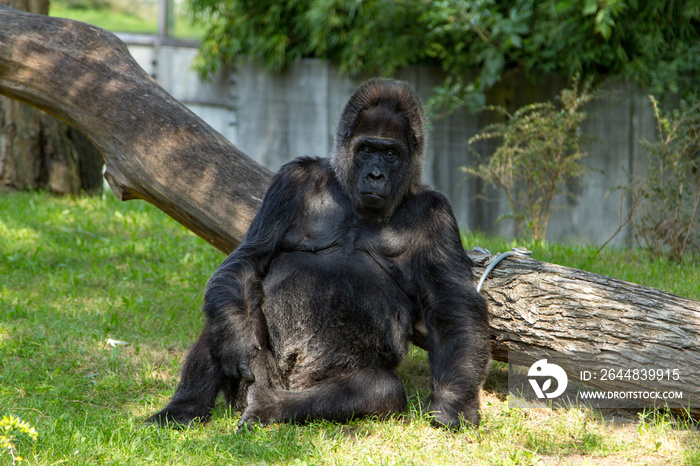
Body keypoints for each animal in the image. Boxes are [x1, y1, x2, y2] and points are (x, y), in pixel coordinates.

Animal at [148, 77, 486, 430]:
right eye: (367, 149)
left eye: (391, 153)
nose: (375, 175)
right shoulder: (291, 181)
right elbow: (249, 259)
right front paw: (234, 335)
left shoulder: (438, 214)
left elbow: (451, 305)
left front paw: (454, 403)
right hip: (252, 380)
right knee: (229, 303)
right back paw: (183, 407)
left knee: (379, 389)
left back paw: (269, 407)